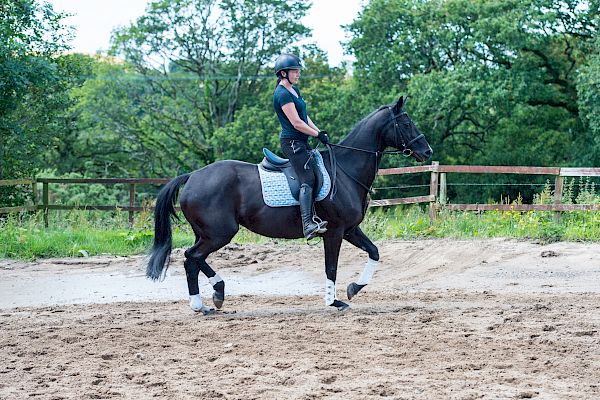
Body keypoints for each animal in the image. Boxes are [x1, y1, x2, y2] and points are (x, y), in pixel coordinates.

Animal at [149, 95, 432, 314]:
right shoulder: (335, 231)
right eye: (406, 122)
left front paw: (353, 288)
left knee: (192, 260)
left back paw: (208, 300)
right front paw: (334, 302)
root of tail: (192, 176)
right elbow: (331, 267)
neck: (346, 170)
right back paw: (210, 298)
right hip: (219, 233)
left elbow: (374, 252)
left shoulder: (350, 230)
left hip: (207, 233)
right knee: (192, 258)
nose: (427, 151)